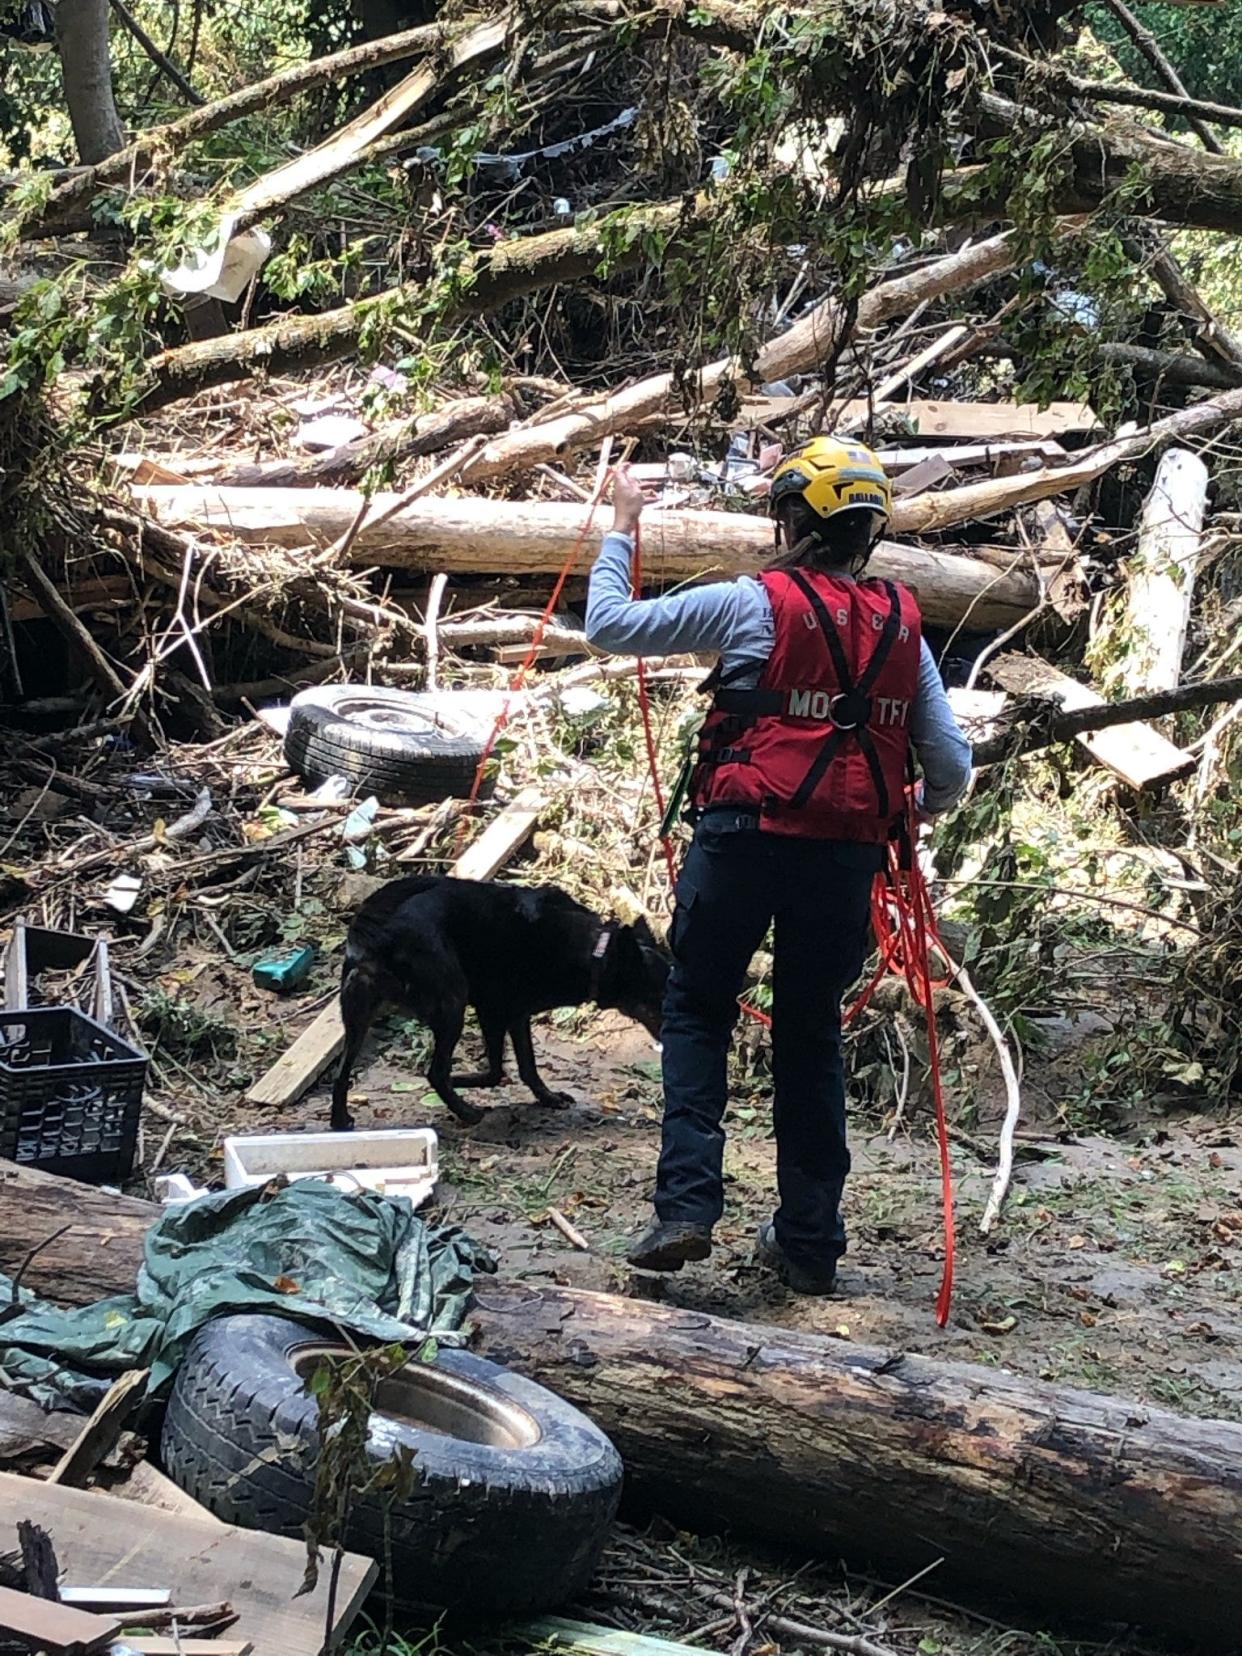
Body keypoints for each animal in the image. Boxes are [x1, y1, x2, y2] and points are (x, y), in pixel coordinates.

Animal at [331, 874, 672, 1132]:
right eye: (658, 997)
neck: (595, 953)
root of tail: (378, 931)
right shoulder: (496, 1012)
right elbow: (501, 1070)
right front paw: (466, 1081)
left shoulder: (513, 1014)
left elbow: (523, 1067)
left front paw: (547, 1098)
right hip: (452, 1004)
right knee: (435, 1073)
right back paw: (466, 1112)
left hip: (358, 1014)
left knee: (341, 1074)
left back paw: (339, 1121)